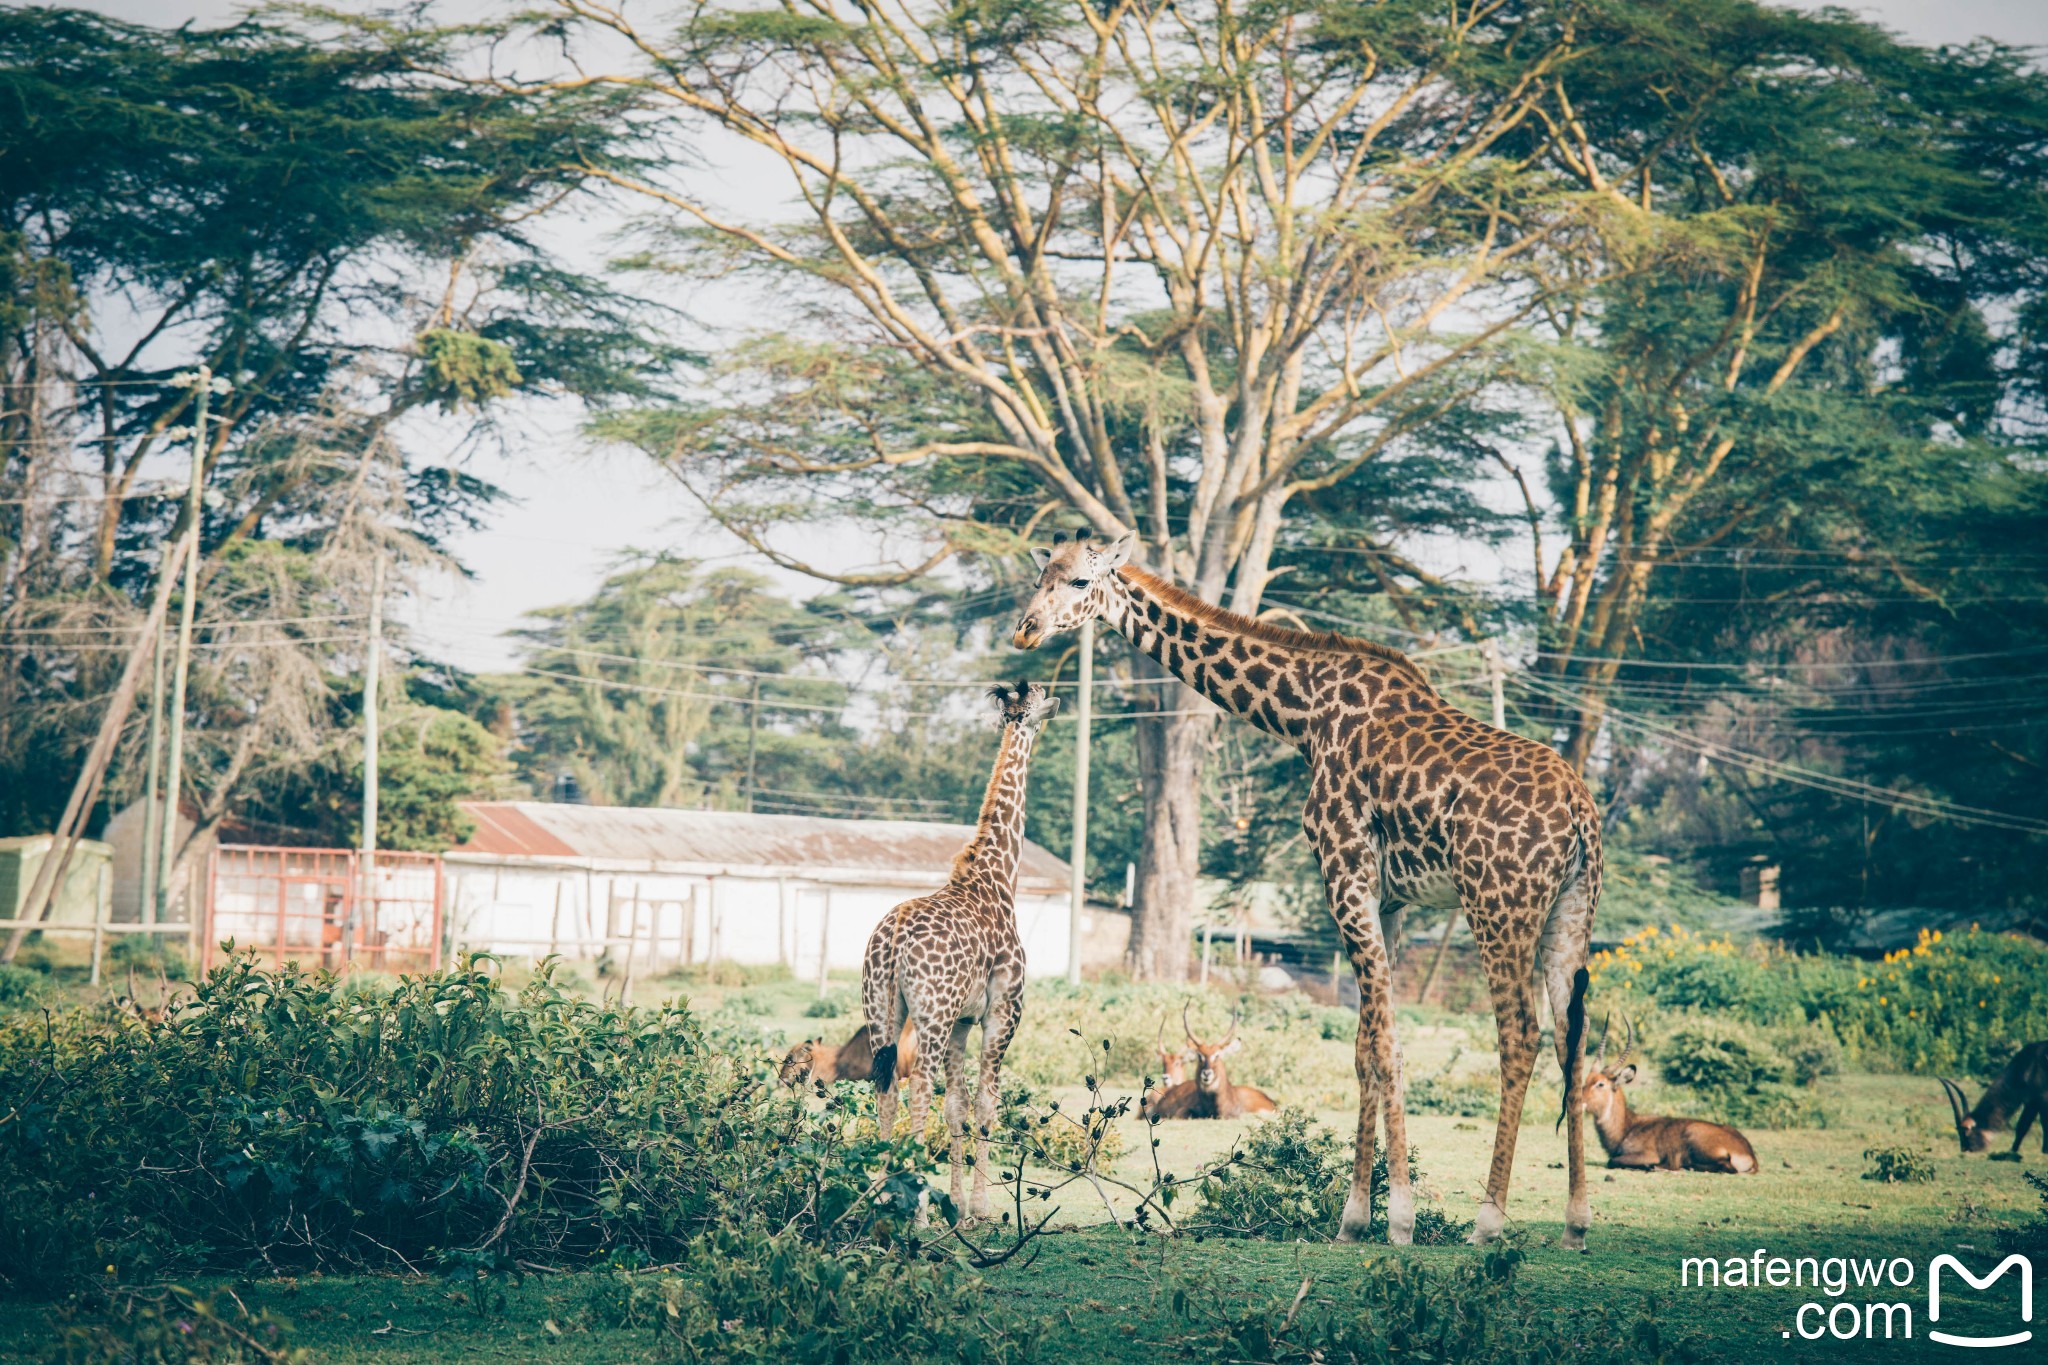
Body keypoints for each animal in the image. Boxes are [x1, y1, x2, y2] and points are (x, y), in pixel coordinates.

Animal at [860, 679, 1056, 1219]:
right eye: (1039, 700)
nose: (1056, 697)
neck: (996, 879)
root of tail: (894, 937)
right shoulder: (1002, 1013)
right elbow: (986, 1104)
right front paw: (983, 1207)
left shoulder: (964, 1021)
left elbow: (957, 1106)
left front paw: (960, 1204)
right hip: (931, 1013)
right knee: (918, 1087)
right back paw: (917, 1209)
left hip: (881, 1009)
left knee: (886, 1086)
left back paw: (879, 1195)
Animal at [1581, 1023, 1761, 1178]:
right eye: (1586, 1080)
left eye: (1600, 1083)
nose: (1579, 1100)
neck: (1628, 1127)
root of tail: (1750, 1154)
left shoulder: (1646, 1154)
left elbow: (1612, 1161)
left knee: (1727, 1167)